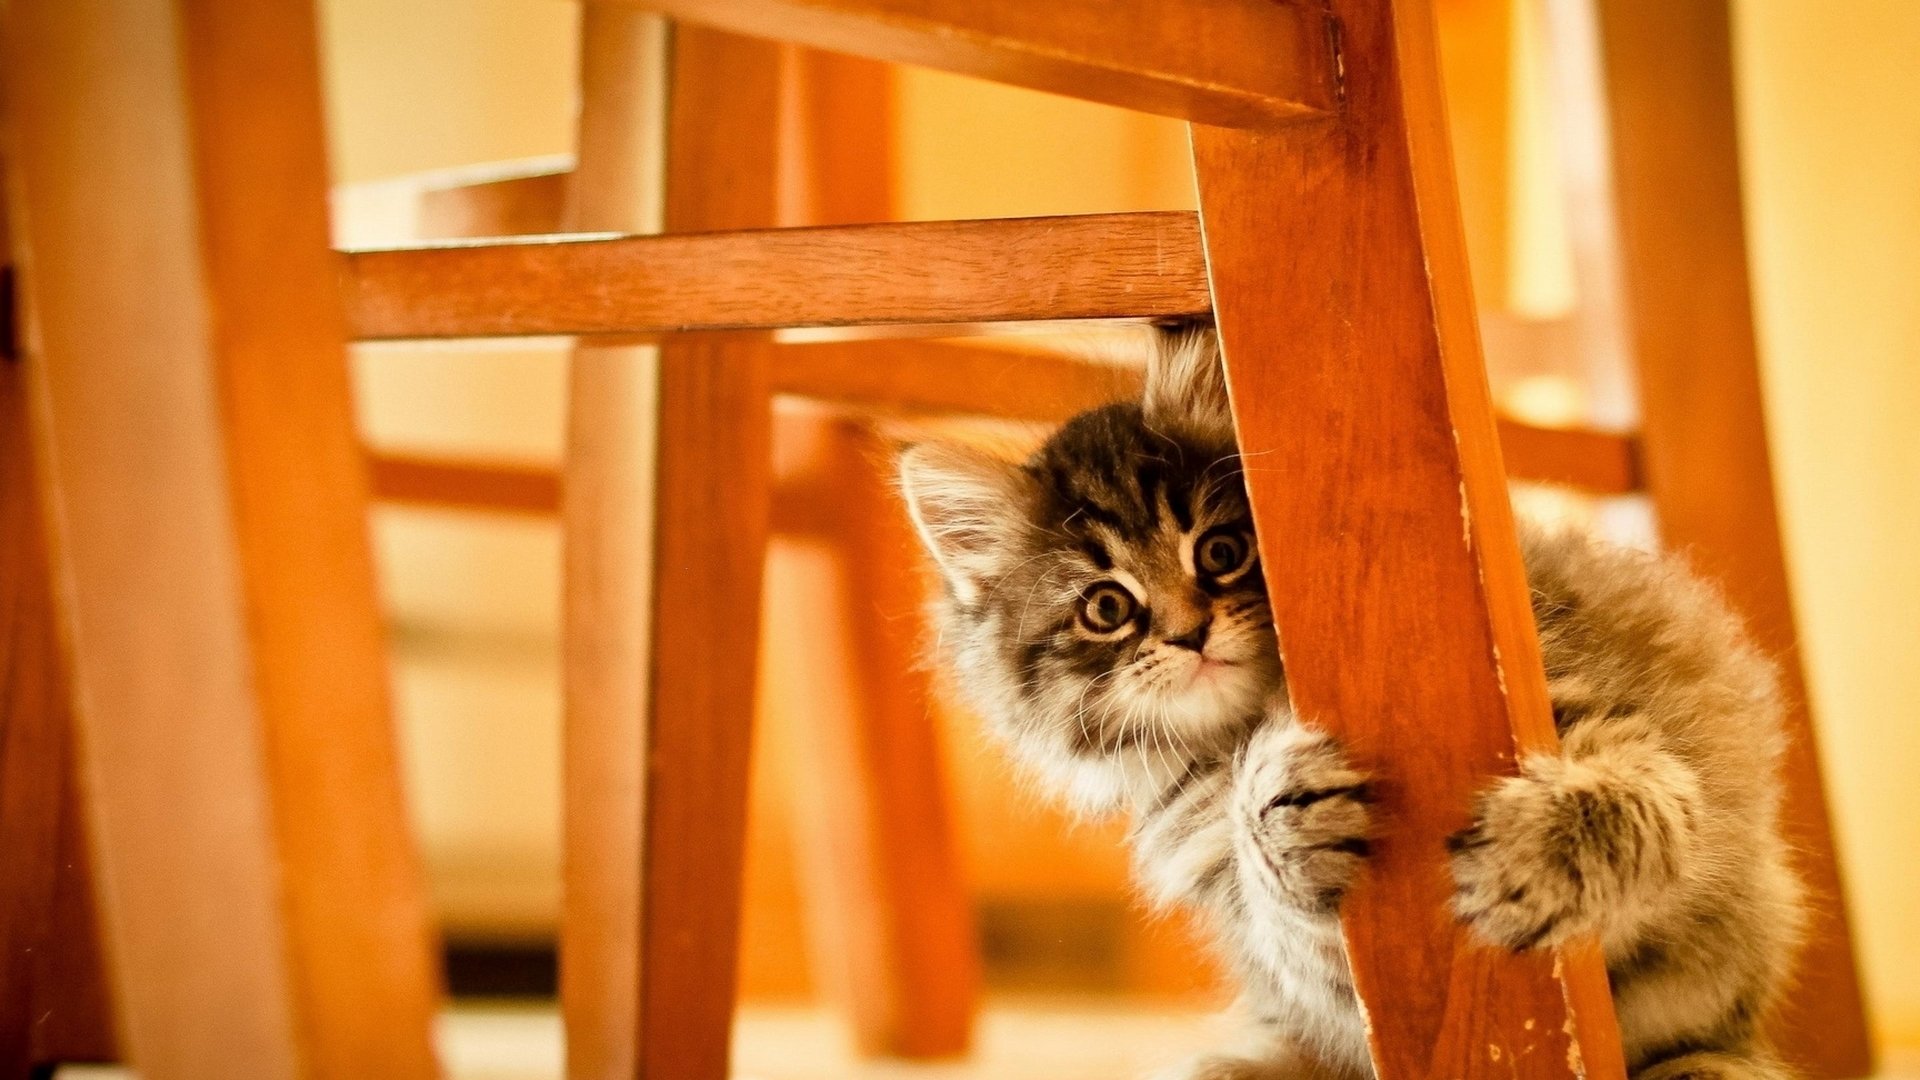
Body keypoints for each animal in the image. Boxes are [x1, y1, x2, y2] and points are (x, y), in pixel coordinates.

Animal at [894, 322, 1797, 1076]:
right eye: (1107, 608)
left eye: (1221, 551)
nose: (1189, 635)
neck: (1240, 728)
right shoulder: (1295, 958)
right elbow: (1283, 909)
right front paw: (1283, 818)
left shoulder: (1585, 700)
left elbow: (1636, 794)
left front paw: (1546, 855)